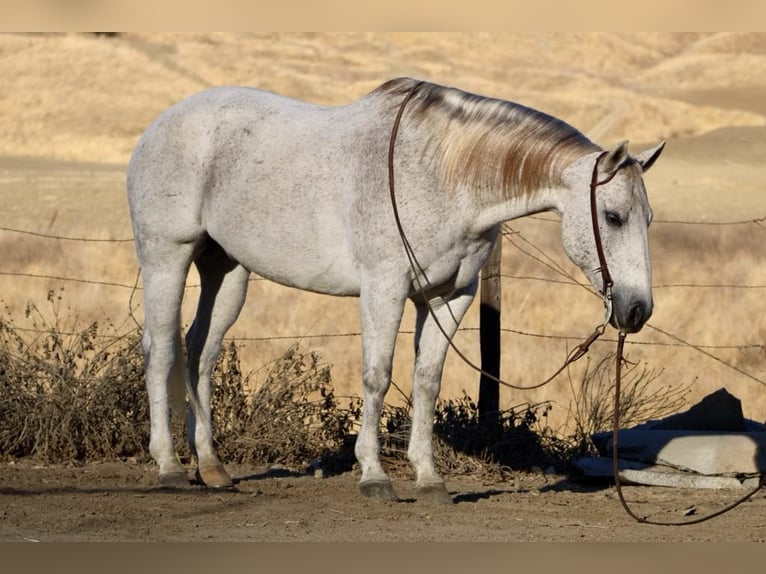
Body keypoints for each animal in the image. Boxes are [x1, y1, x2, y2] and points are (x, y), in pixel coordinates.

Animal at [127, 78, 664, 503]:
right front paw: (374, 475)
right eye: (613, 217)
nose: (637, 309)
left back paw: (211, 468)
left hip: (227, 272)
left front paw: (428, 479)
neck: (446, 175)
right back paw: (169, 467)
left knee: (200, 352)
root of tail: (160, 125)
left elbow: (427, 381)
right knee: (161, 351)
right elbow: (377, 376)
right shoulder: (384, 287)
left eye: (648, 219)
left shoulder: (451, 297)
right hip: (166, 258)